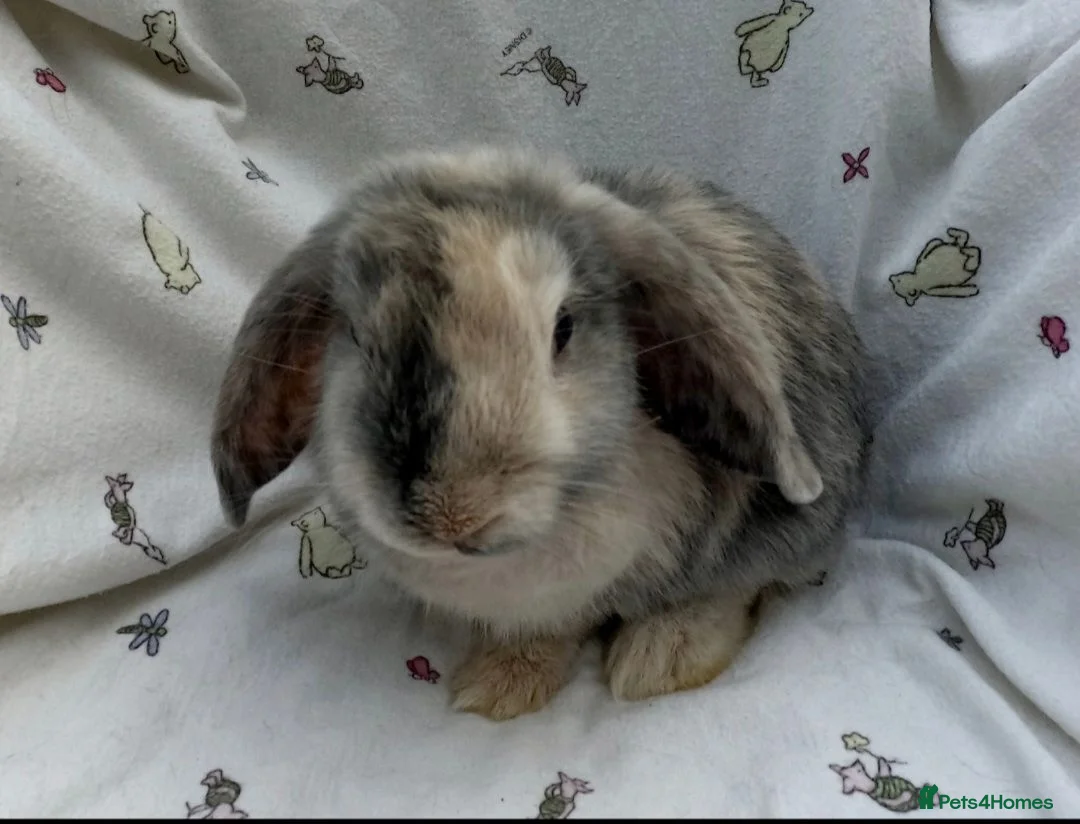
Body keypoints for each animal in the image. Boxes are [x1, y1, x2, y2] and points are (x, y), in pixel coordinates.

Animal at [211, 146, 872, 721]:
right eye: (356, 336)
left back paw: (658, 654)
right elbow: (543, 633)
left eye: (563, 328)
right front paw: (499, 685)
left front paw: (659, 663)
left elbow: (729, 588)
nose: (453, 516)